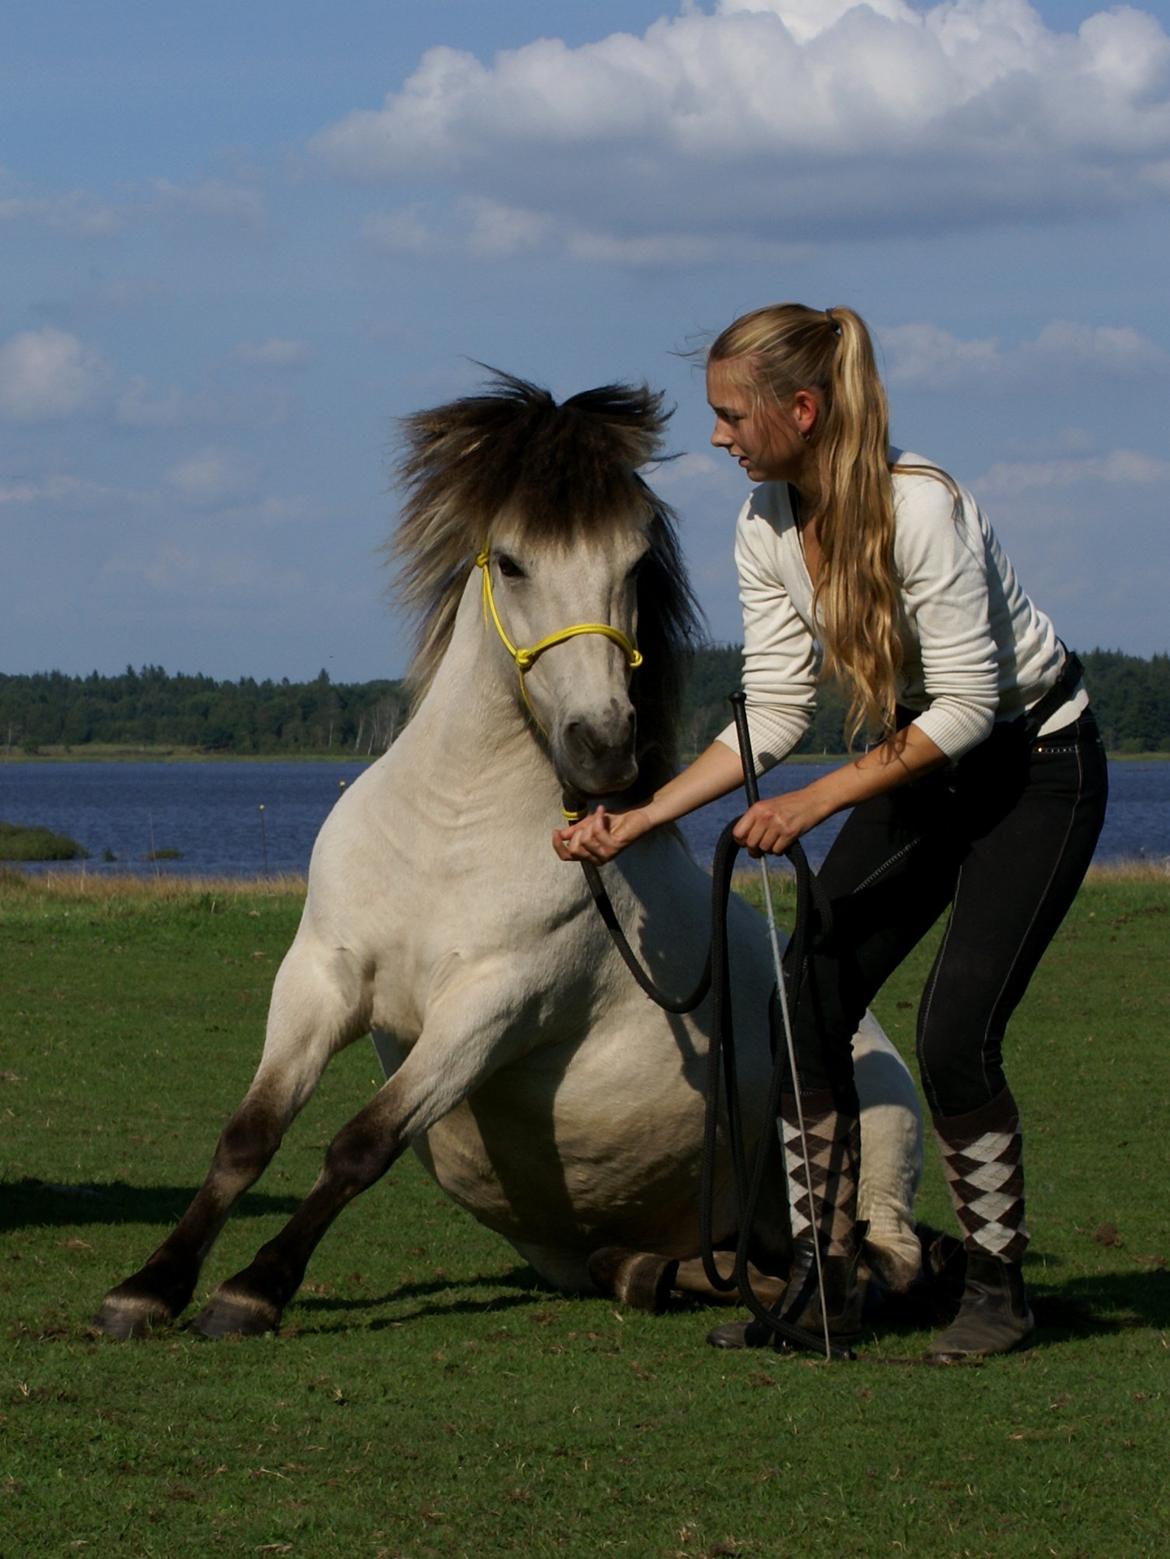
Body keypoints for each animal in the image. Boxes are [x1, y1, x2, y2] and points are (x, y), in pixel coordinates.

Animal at [96, 367, 929, 1340]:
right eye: (515, 560)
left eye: (633, 564)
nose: (603, 745)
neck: (451, 831)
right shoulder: (321, 974)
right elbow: (247, 1135)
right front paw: (148, 1286)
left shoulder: (493, 1007)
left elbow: (360, 1143)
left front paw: (251, 1290)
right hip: (607, 1238)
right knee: (654, 1261)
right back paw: (661, 1273)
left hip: (867, 1158)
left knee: (884, 1260)